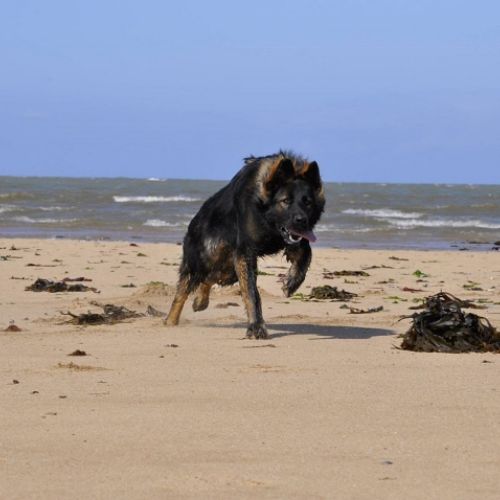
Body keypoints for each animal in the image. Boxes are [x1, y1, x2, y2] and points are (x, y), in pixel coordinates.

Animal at [165, 151, 325, 338]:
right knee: (183, 292)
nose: (302, 221)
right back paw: (170, 321)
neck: (265, 218)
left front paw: (292, 282)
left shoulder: (292, 241)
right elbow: (251, 292)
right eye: (285, 201)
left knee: (210, 278)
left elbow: (306, 253)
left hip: (228, 269)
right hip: (203, 261)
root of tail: (193, 223)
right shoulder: (245, 253)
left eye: (307, 202)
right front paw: (256, 326)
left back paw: (200, 301)